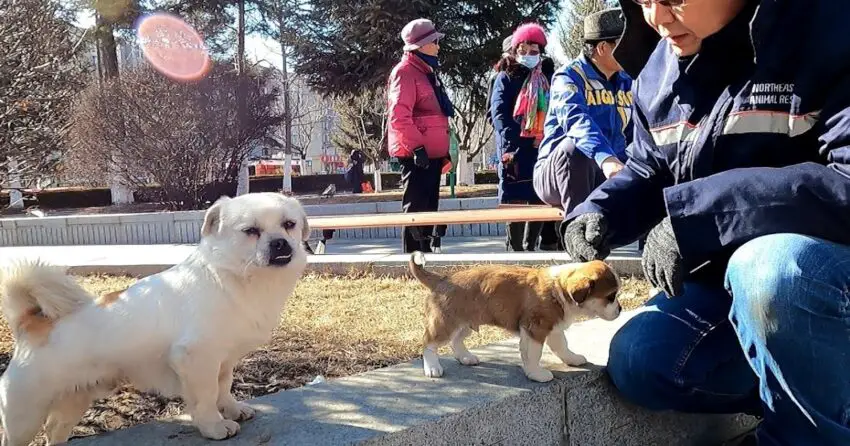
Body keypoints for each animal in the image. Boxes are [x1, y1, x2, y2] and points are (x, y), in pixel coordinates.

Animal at [0, 193, 310, 446]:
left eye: (289, 224)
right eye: (251, 232)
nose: (280, 243)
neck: (233, 278)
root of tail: (31, 323)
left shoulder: (223, 362)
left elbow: (223, 388)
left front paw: (232, 410)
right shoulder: (196, 360)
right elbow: (207, 396)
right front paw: (214, 426)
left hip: (73, 400)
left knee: (54, 430)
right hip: (24, 418)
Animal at [408, 253, 620, 382]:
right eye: (611, 296)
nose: (620, 309)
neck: (559, 288)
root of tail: (442, 279)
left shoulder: (554, 328)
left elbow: (562, 346)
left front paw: (573, 358)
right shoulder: (535, 330)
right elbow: (533, 354)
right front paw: (536, 373)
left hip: (465, 323)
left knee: (456, 340)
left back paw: (466, 357)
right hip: (445, 323)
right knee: (429, 343)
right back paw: (432, 368)